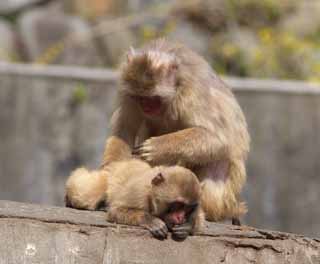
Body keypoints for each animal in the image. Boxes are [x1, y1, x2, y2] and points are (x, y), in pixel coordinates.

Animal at [66, 136, 204, 239]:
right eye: (178, 205)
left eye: (187, 208)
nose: (181, 217)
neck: (151, 193)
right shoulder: (138, 192)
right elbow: (116, 211)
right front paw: (150, 220)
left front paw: (188, 226)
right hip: (106, 177)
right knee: (85, 195)